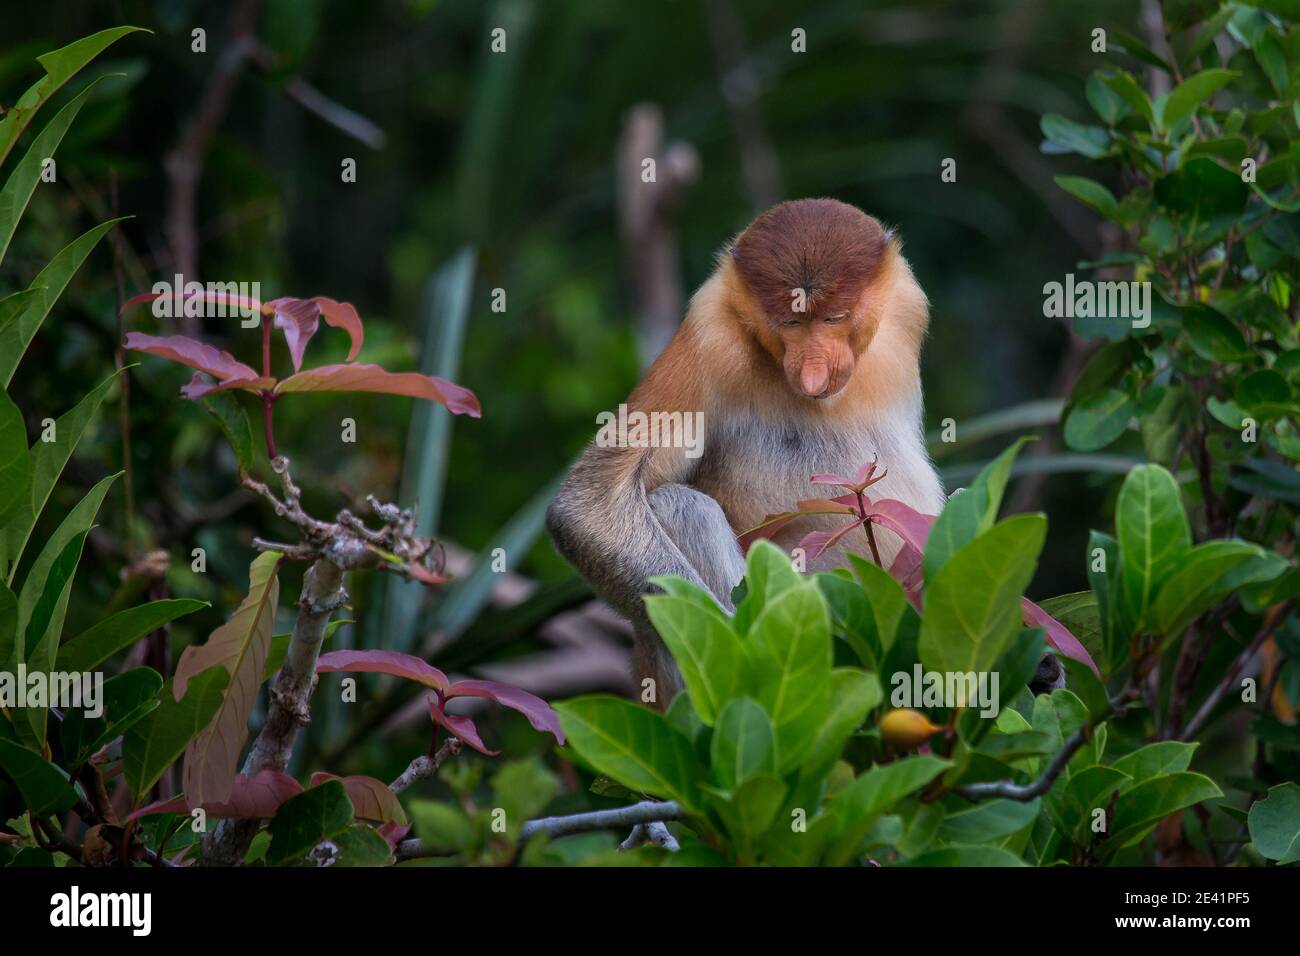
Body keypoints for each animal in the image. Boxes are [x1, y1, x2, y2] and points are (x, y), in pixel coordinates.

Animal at [546, 197, 946, 707]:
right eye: (791, 323)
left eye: (834, 318)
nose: (813, 373)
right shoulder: (710, 339)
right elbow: (588, 505)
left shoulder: (906, 307)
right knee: (680, 506)